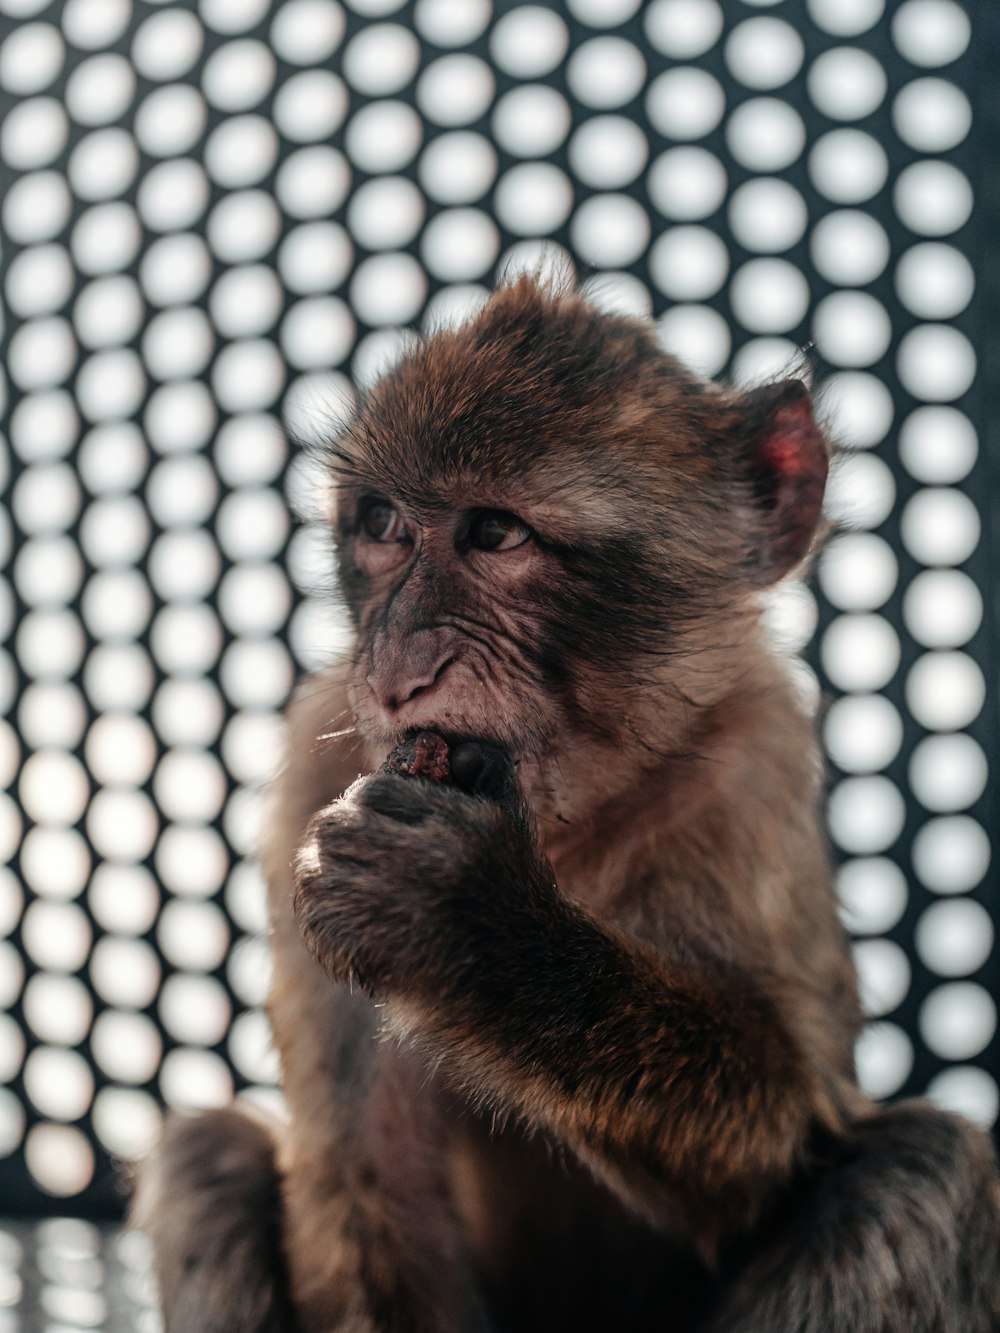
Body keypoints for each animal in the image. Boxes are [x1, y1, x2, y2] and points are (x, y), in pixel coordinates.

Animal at [135, 273, 1000, 1333]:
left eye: (496, 532)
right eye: (382, 523)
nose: (397, 670)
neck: (563, 827)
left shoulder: (754, 764)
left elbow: (789, 1150)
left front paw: (477, 923)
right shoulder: (315, 760)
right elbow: (369, 1189)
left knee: (914, 1168)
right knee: (206, 1154)